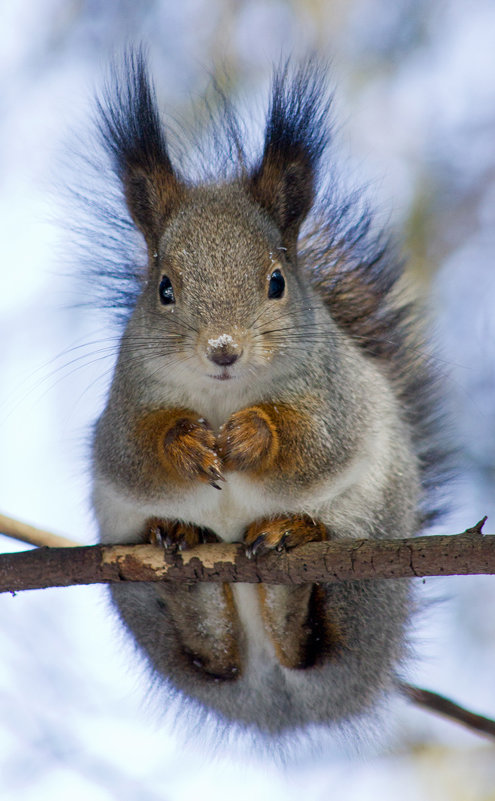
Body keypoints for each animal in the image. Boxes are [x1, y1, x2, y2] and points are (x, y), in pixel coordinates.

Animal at [89, 51, 446, 736]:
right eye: (163, 288)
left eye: (278, 281)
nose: (223, 349)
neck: (224, 396)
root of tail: (280, 704)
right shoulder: (127, 400)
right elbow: (135, 451)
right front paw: (187, 446)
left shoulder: (335, 391)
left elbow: (314, 440)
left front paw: (254, 435)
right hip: (139, 598)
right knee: (215, 655)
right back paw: (189, 566)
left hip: (371, 540)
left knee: (315, 637)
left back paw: (287, 556)